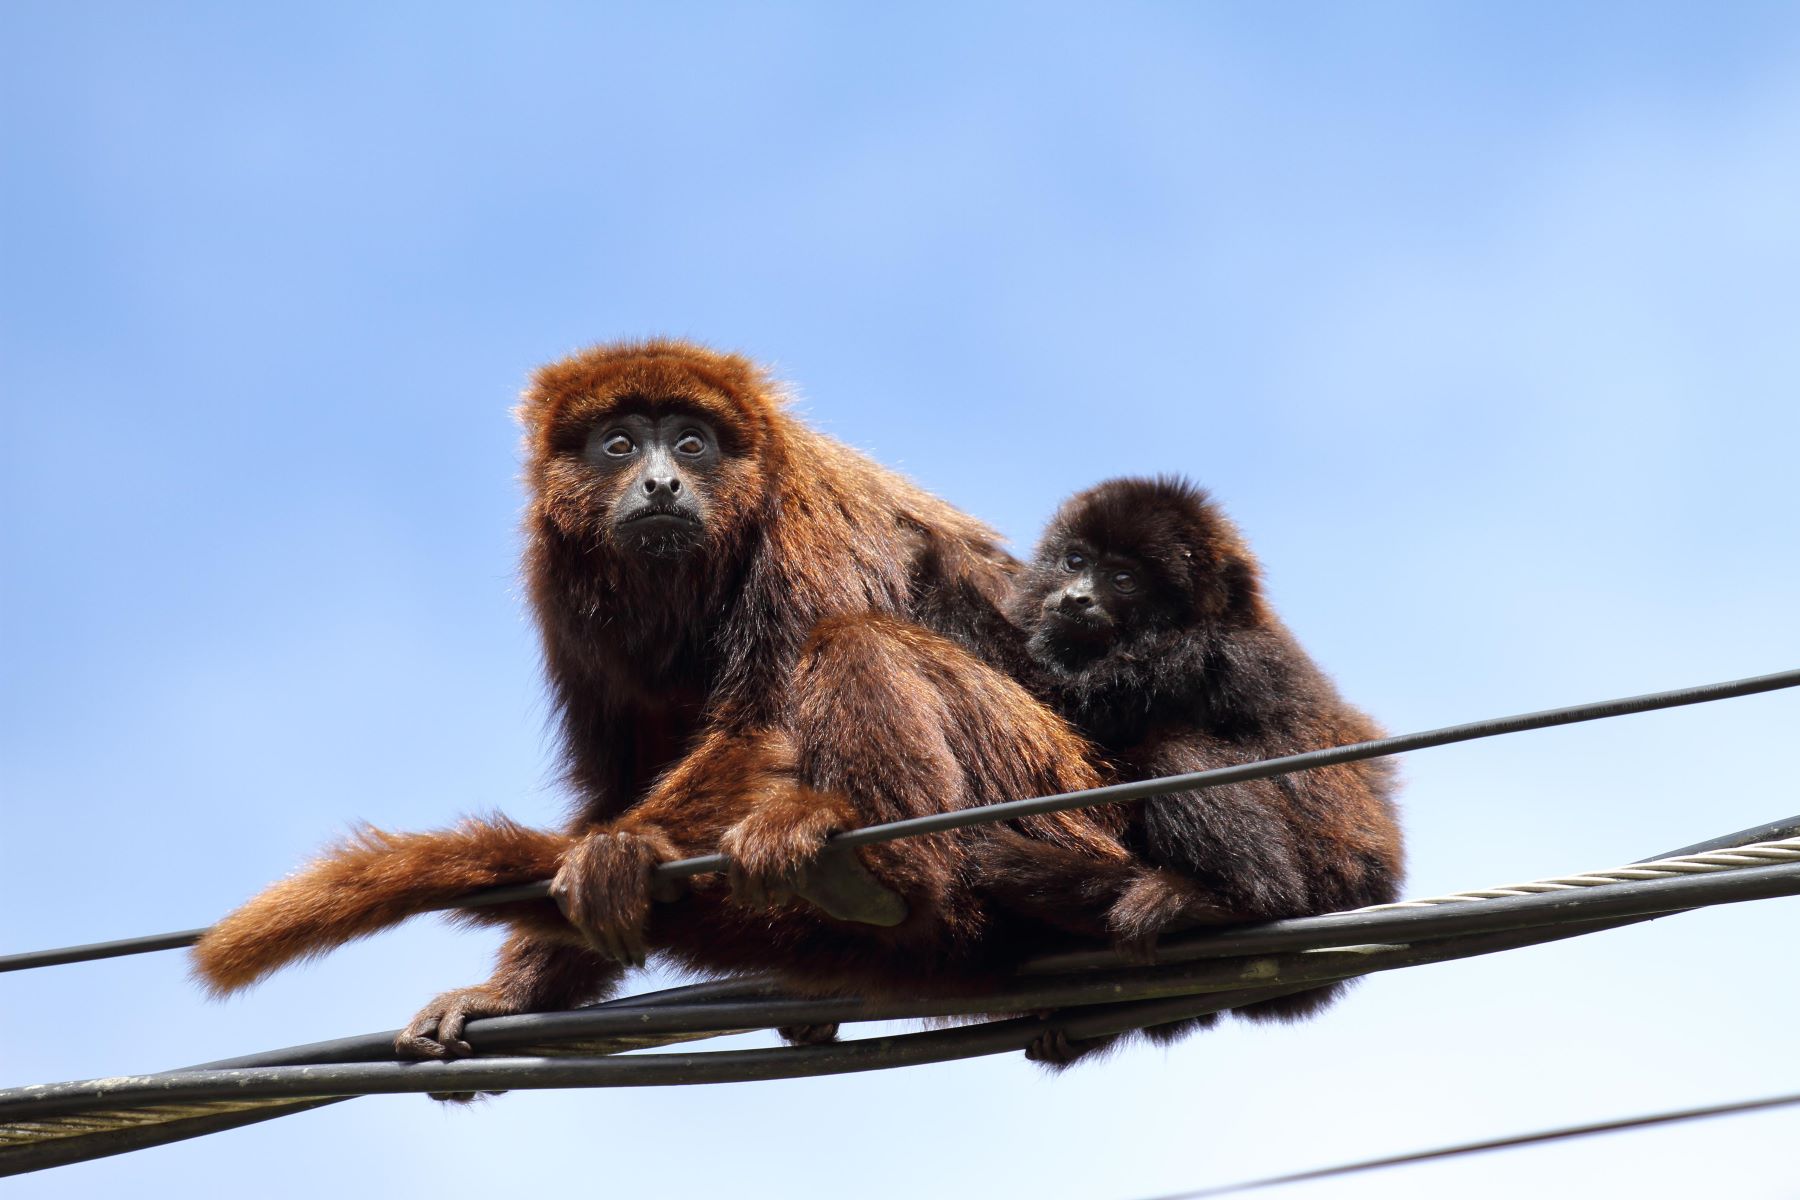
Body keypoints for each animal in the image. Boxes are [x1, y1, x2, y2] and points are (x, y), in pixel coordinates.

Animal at [193, 340, 1123, 1057]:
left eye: (691, 442)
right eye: (617, 445)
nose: (663, 483)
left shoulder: (805, 517)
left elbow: (761, 723)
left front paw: (624, 849)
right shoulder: (559, 586)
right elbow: (615, 779)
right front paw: (517, 989)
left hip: (1051, 797)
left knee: (856, 641)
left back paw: (891, 880)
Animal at [972, 474, 1404, 1065]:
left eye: (1125, 580)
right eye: (1074, 560)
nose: (1078, 596)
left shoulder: (1192, 659)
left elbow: (1050, 697)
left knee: (1177, 752)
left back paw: (1228, 905)